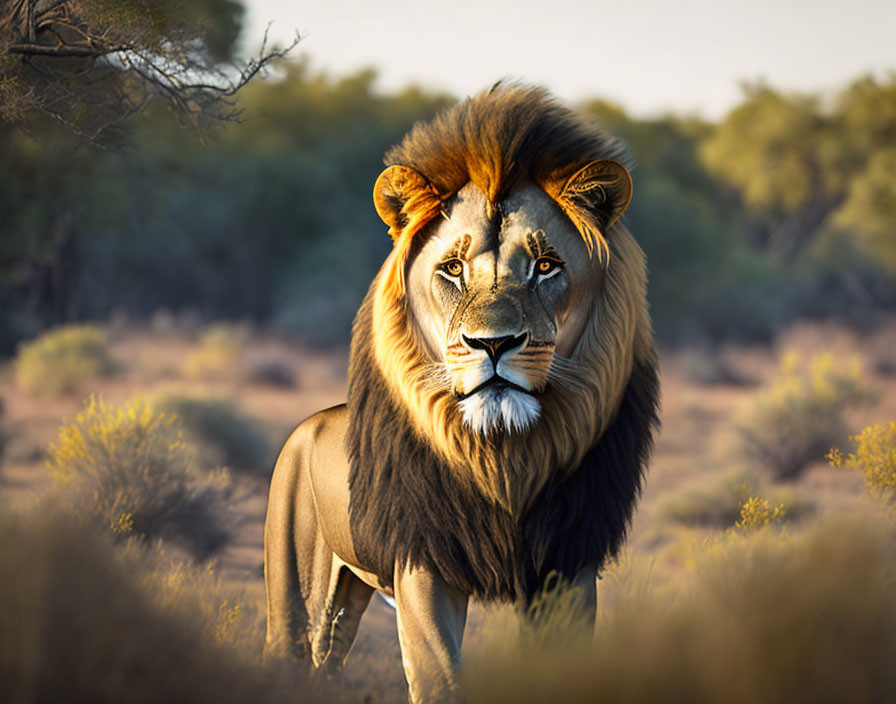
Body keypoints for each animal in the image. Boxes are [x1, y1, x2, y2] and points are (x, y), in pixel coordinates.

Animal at [262, 85, 660, 700]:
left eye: (546, 266)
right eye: (451, 268)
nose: (492, 344)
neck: (502, 457)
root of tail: (309, 424)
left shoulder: (566, 564)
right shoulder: (424, 564)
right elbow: (440, 676)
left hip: (346, 599)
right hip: (296, 589)